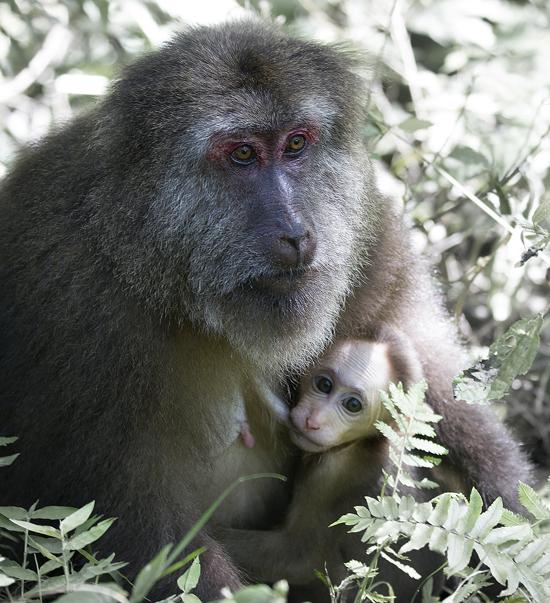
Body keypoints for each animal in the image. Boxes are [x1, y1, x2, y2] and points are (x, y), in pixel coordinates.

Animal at [226, 328, 438, 600]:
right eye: (324, 385)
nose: (313, 420)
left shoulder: (331, 473)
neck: (362, 445)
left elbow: (297, 557)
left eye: (353, 405)